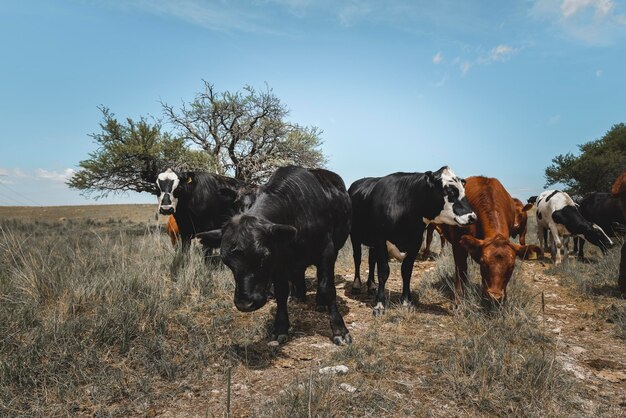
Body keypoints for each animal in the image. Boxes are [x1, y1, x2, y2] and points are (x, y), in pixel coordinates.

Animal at [200, 167, 356, 346]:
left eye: (263, 257)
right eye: (227, 262)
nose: (245, 303)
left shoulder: (327, 251)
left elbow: (328, 288)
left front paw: (339, 330)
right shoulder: (279, 262)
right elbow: (281, 293)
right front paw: (280, 328)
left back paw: (319, 302)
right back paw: (299, 296)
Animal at [348, 166, 476, 314]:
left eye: (463, 190)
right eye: (449, 191)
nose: (472, 217)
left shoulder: (415, 242)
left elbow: (406, 271)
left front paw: (406, 301)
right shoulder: (380, 240)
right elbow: (383, 271)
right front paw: (380, 304)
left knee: (371, 259)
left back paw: (372, 285)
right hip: (355, 236)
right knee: (357, 258)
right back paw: (357, 285)